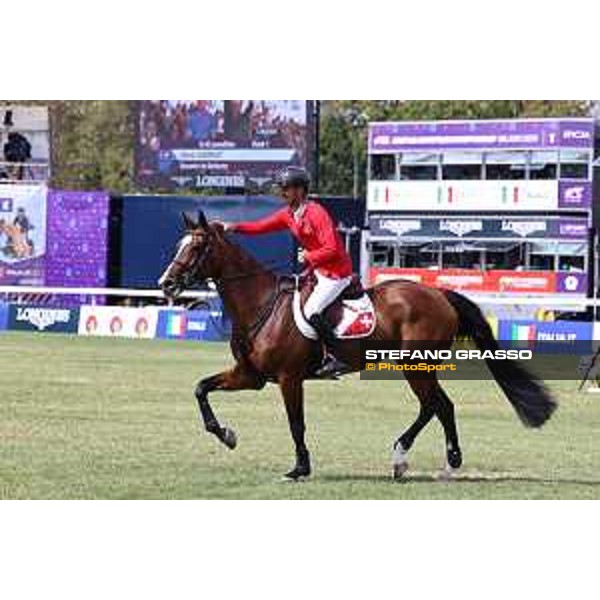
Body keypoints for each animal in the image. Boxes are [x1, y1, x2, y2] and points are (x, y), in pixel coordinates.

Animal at [159, 211, 556, 478]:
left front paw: (300, 467)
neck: (261, 304)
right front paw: (226, 435)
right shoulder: (250, 376)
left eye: (198, 246)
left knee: (436, 405)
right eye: (180, 244)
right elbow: (200, 388)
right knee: (438, 406)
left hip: (416, 364)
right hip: (417, 366)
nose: (166, 284)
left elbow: (296, 423)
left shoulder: (289, 378)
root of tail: (438, 293)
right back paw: (432, 460)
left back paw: (414, 457)